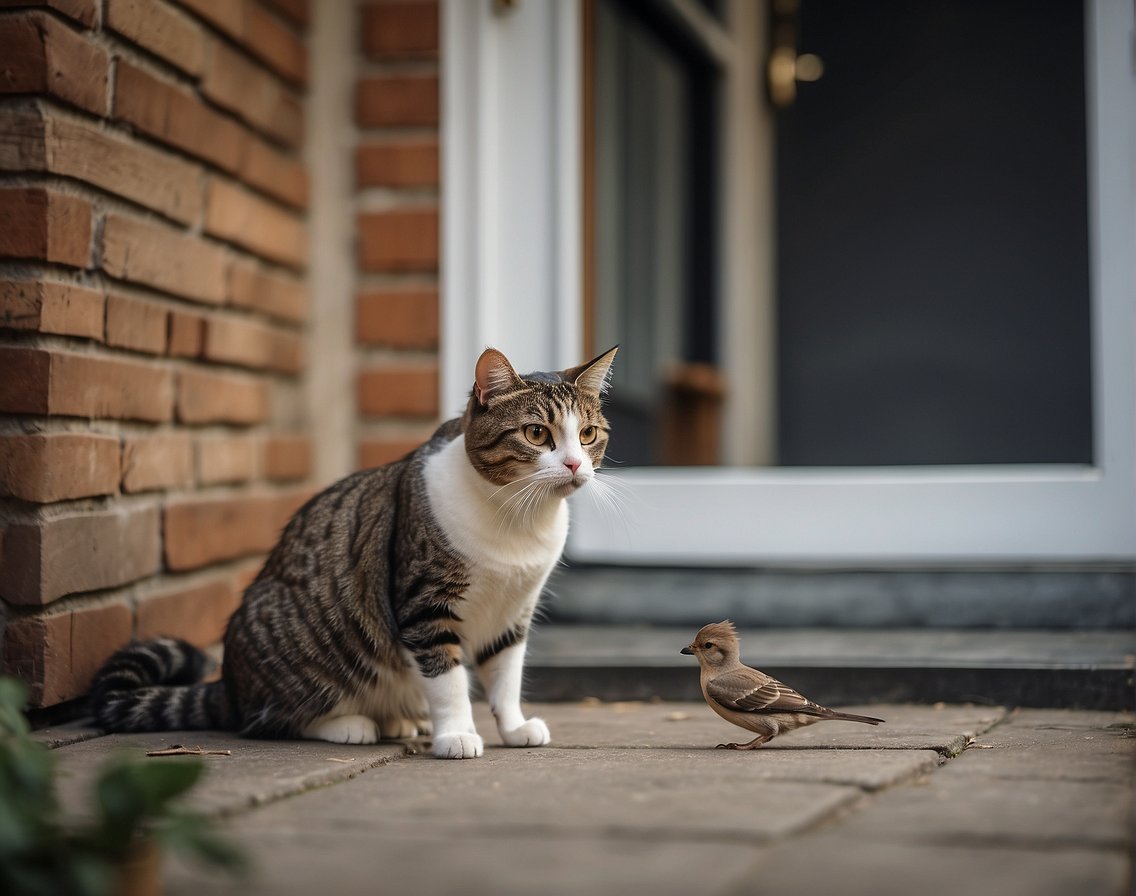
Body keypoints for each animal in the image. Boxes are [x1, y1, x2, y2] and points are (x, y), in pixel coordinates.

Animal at [92, 345, 617, 758]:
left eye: (588, 434)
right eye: (537, 434)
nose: (575, 464)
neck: (519, 518)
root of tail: (230, 685)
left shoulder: (514, 609)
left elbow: (506, 676)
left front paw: (513, 727)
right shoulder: (424, 603)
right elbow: (446, 678)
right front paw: (457, 735)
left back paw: (400, 720)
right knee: (272, 718)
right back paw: (350, 725)